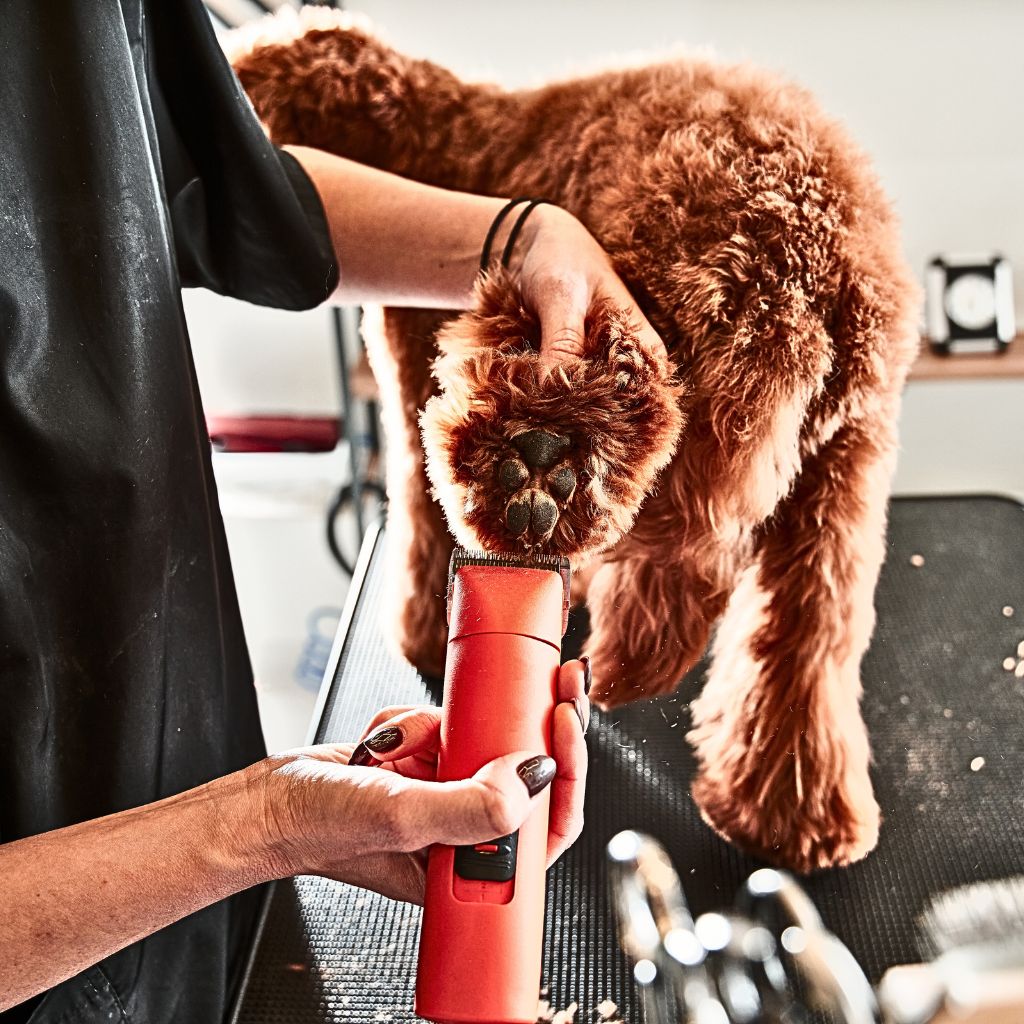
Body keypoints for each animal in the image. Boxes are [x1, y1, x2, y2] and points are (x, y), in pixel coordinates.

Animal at [232, 12, 921, 868]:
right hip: (844, 467)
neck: (439, 142)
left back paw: (536, 474)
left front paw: (425, 637)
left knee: (660, 519)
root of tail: (812, 270)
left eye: (251, 83)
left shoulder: (412, 375)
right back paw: (793, 819)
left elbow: (422, 518)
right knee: (809, 640)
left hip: (643, 338)